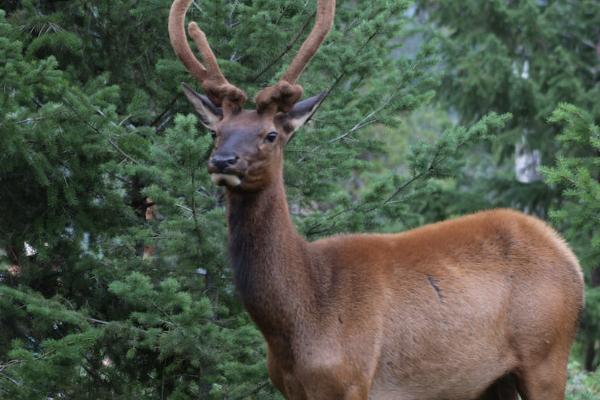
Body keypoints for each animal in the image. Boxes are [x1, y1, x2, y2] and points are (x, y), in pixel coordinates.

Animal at [166, 1, 584, 398]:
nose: (223, 161)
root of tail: (569, 257)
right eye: (216, 131)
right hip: (490, 381)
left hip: (547, 352)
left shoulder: (351, 380)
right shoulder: (292, 389)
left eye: (271, 134)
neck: (303, 314)